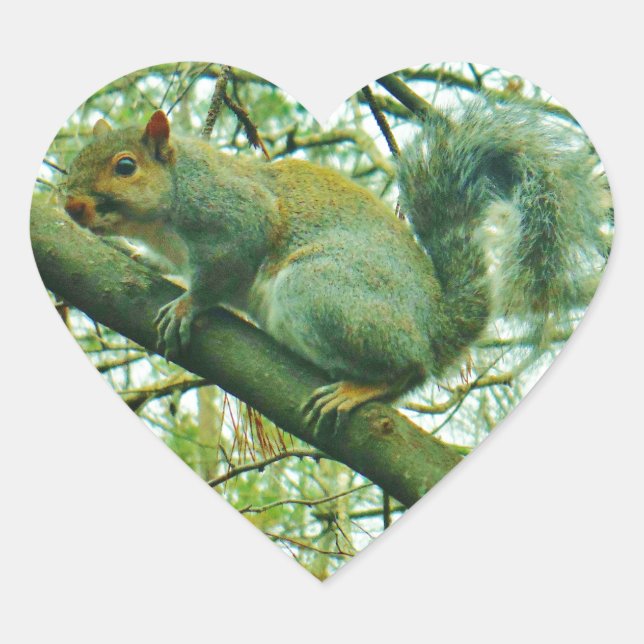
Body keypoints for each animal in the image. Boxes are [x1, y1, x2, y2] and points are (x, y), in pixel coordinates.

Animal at [63, 103, 609, 429]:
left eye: (125, 166)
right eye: (71, 164)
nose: (70, 206)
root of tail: (433, 328)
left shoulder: (235, 213)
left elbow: (221, 271)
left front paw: (186, 306)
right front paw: (132, 255)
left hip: (318, 289)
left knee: (406, 368)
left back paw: (358, 388)